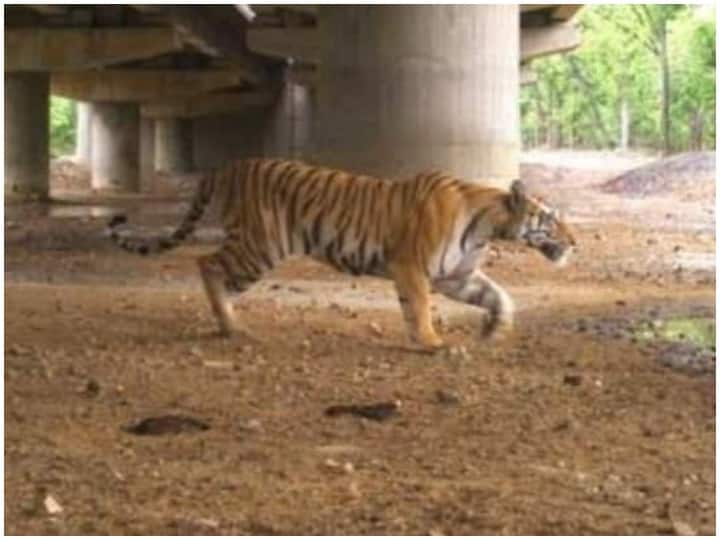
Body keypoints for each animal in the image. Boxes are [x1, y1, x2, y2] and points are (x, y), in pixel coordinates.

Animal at [108, 158, 576, 349]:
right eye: (552, 219)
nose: (576, 242)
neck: (487, 226)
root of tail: (230, 166)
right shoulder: (413, 268)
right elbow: (419, 307)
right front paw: (430, 341)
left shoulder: (456, 276)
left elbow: (500, 296)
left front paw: (496, 330)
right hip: (260, 248)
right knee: (206, 263)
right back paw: (230, 325)